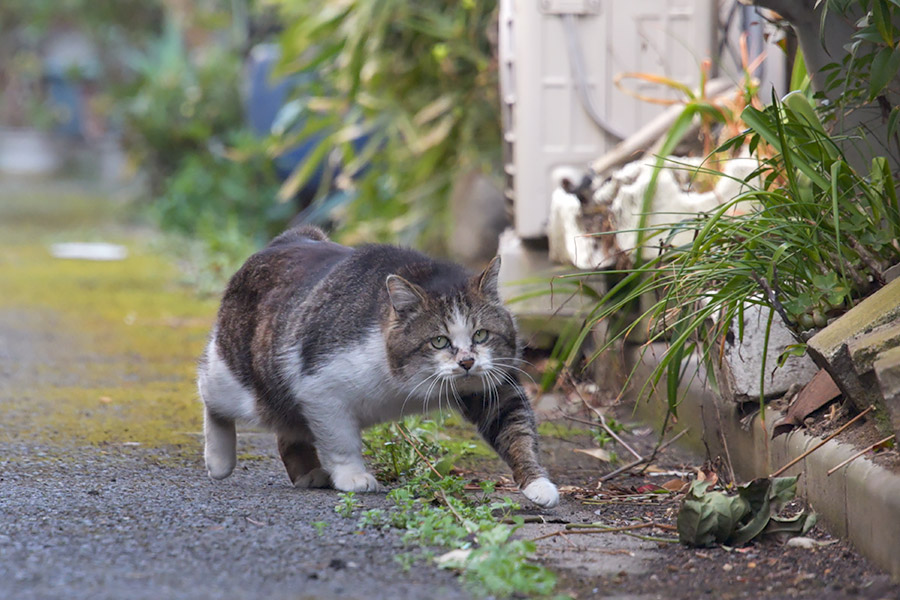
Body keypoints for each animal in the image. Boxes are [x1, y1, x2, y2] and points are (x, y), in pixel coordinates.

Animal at [200, 225, 560, 506]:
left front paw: (537, 483)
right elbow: (341, 440)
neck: (407, 382)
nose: (467, 362)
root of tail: (290, 238)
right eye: (439, 341)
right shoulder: (321, 388)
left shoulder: (492, 388)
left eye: (481, 334)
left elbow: (517, 432)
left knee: (289, 428)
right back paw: (218, 459)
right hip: (247, 386)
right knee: (208, 388)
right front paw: (353, 476)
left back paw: (308, 472)